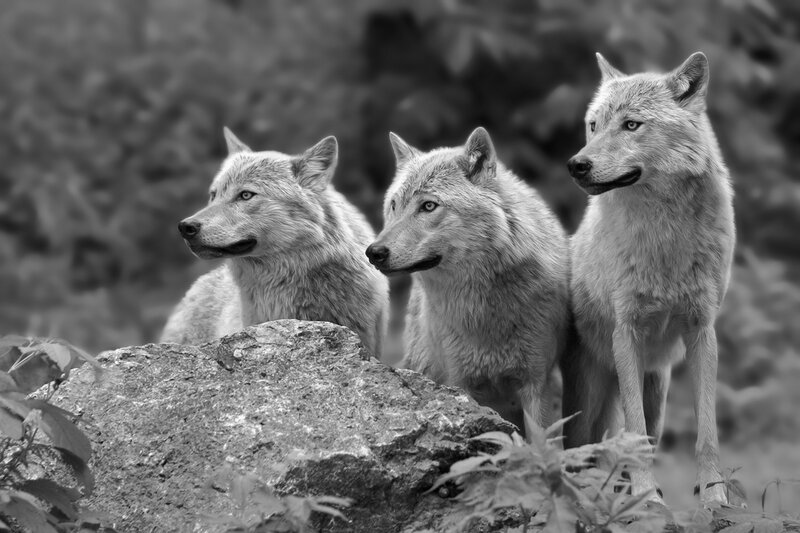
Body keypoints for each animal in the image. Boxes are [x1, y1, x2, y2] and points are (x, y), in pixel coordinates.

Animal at [366, 127, 570, 435]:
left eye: (428, 206)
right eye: (393, 205)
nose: (374, 252)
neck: (482, 312)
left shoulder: (537, 385)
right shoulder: (460, 385)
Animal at [563, 52, 735, 504]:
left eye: (631, 125)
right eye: (593, 125)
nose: (576, 165)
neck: (664, 236)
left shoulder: (702, 331)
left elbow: (706, 432)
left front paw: (714, 496)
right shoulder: (626, 333)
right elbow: (633, 431)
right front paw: (647, 496)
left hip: (657, 383)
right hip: (590, 395)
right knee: (580, 448)